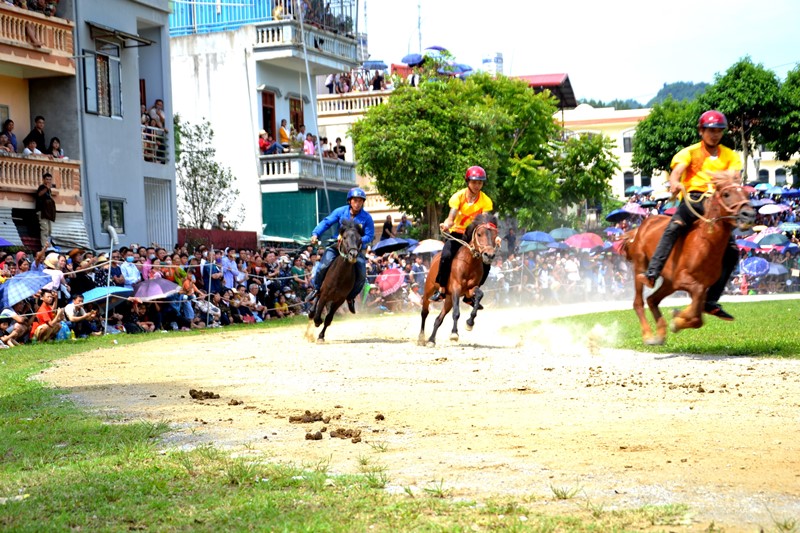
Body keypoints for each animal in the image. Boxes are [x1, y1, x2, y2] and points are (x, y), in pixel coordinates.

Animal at [416, 214, 496, 348]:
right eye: (479, 234)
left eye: (495, 235)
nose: (489, 255)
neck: (468, 263)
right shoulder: (456, 288)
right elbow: (456, 313)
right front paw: (454, 334)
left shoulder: (470, 289)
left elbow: (479, 295)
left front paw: (469, 323)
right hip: (429, 290)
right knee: (424, 312)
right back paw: (421, 337)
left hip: (448, 298)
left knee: (438, 319)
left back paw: (431, 340)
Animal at [624, 171, 756, 344]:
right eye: (726, 194)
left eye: (746, 193)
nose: (749, 215)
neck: (703, 243)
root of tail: (641, 227)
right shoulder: (685, 280)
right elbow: (696, 310)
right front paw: (678, 319)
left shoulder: (701, 284)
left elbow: (698, 313)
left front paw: (679, 317)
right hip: (640, 266)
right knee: (638, 302)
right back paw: (648, 335)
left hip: (669, 283)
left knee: (652, 300)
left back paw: (660, 333)